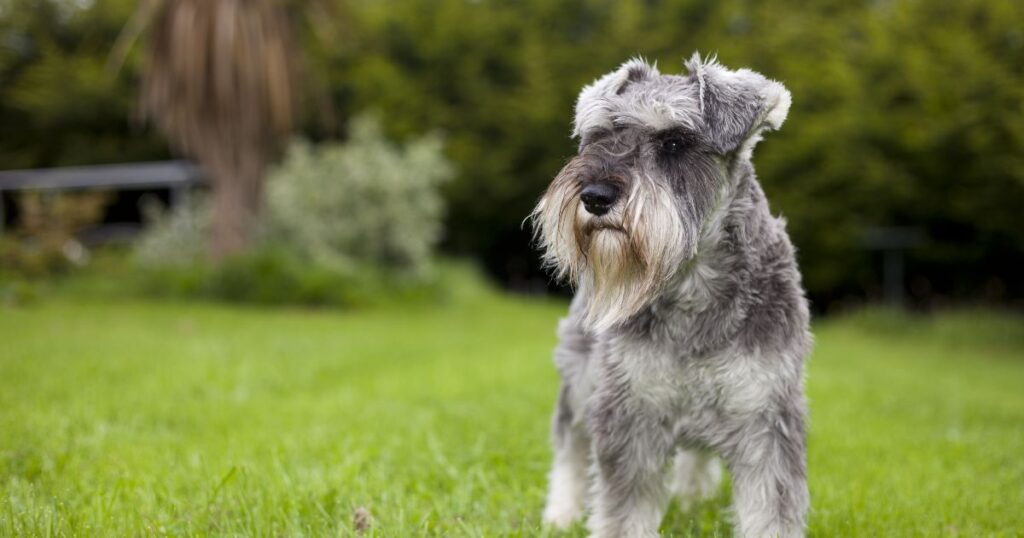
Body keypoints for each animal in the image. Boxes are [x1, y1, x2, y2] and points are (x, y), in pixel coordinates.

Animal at [532, 55, 811, 536]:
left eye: (676, 142)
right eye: (599, 136)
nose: (595, 196)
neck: (691, 287)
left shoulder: (766, 416)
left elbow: (770, 511)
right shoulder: (629, 411)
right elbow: (623, 511)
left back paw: (693, 496)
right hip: (581, 377)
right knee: (570, 444)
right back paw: (561, 514)